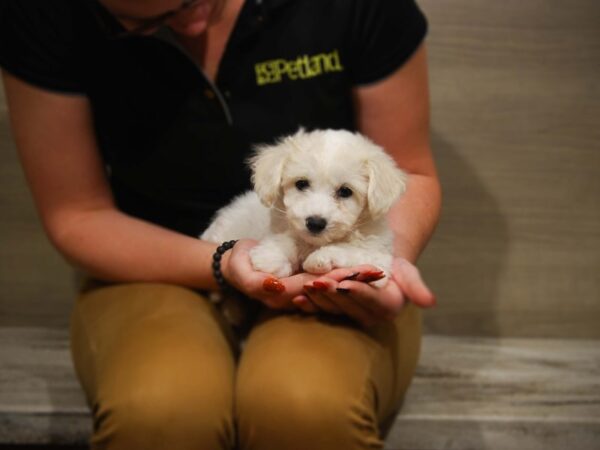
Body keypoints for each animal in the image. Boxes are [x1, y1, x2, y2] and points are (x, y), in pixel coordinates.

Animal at [202, 128, 408, 286]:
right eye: (301, 184)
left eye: (345, 191)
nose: (315, 223)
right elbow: (288, 238)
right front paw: (273, 256)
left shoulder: (380, 260)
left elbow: (354, 251)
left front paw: (321, 258)